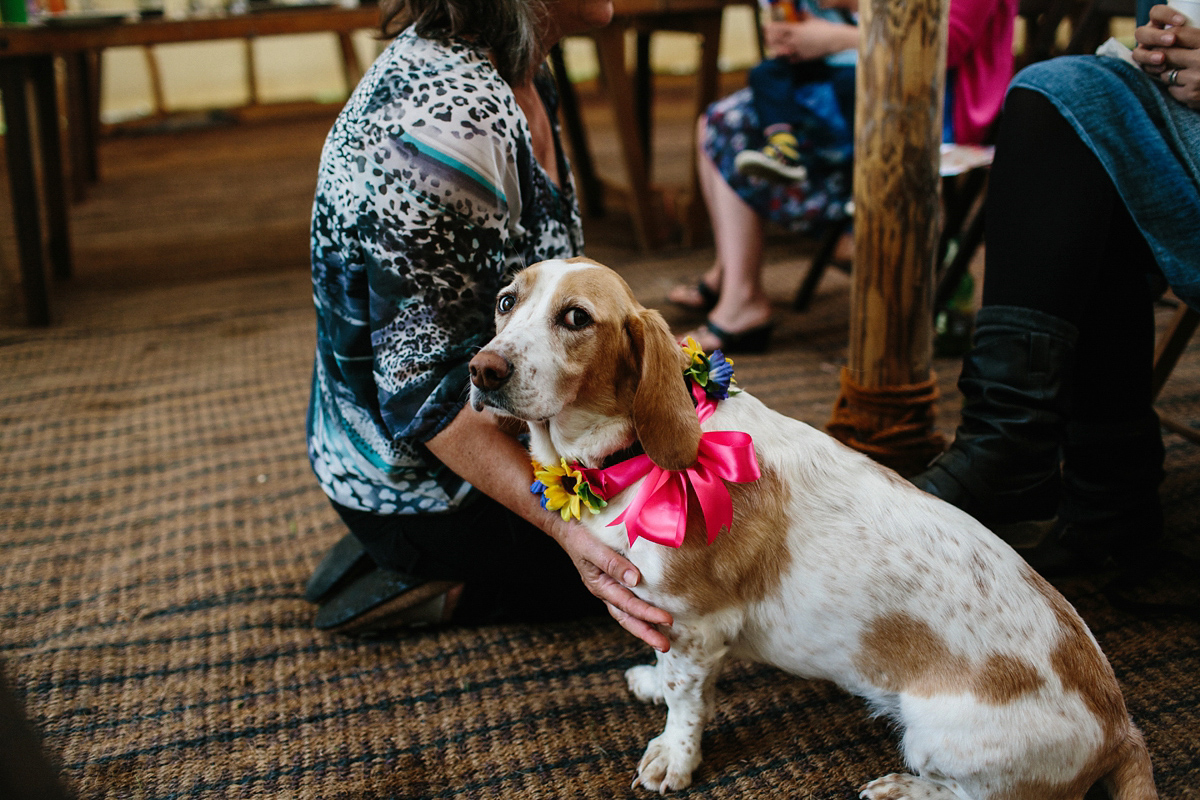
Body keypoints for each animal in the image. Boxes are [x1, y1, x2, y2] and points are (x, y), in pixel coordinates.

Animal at [465, 260, 1152, 796]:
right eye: (505, 301)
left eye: (576, 318)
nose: (481, 370)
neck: (629, 458)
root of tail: (1120, 727)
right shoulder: (672, 624)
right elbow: (678, 678)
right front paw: (652, 684)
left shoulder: (696, 622)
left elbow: (687, 702)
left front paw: (674, 757)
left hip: (936, 738)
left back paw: (904, 789)